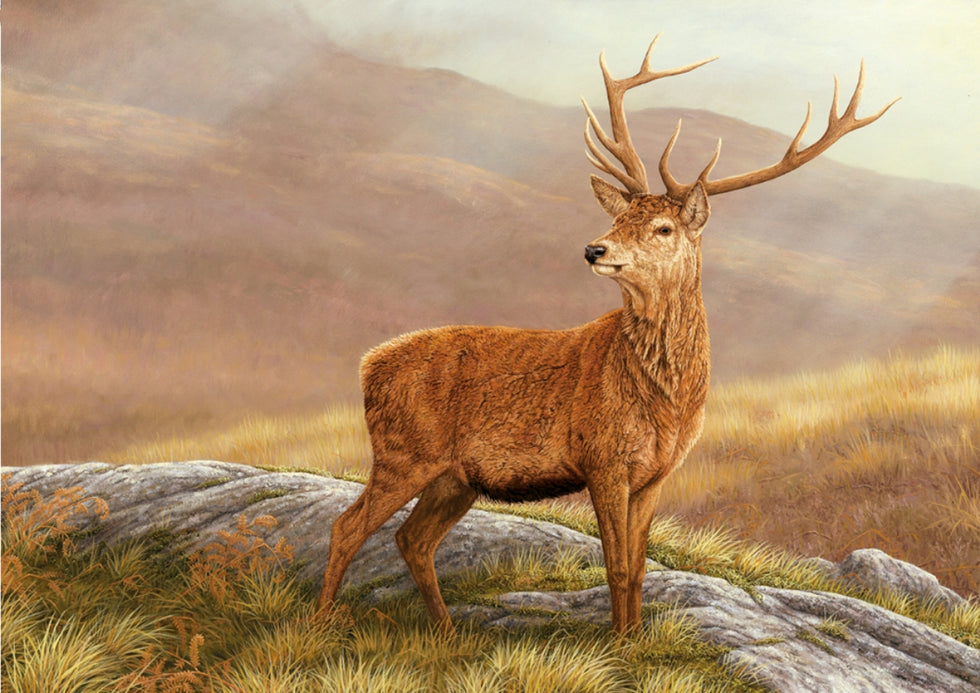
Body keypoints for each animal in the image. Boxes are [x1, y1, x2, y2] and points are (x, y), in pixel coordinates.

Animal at [317, 35, 897, 634]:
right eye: (620, 220)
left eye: (662, 227)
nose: (595, 248)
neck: (665, 402)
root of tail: (367, 364)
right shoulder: (603, 458)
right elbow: (616, 566)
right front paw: (618, 644)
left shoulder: (655, 473)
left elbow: (638, 568)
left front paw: (635, 639)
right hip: (404, 451)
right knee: (347, 526)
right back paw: (319, 624)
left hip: (454, 477)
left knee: (412, 539)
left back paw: (446, 632)